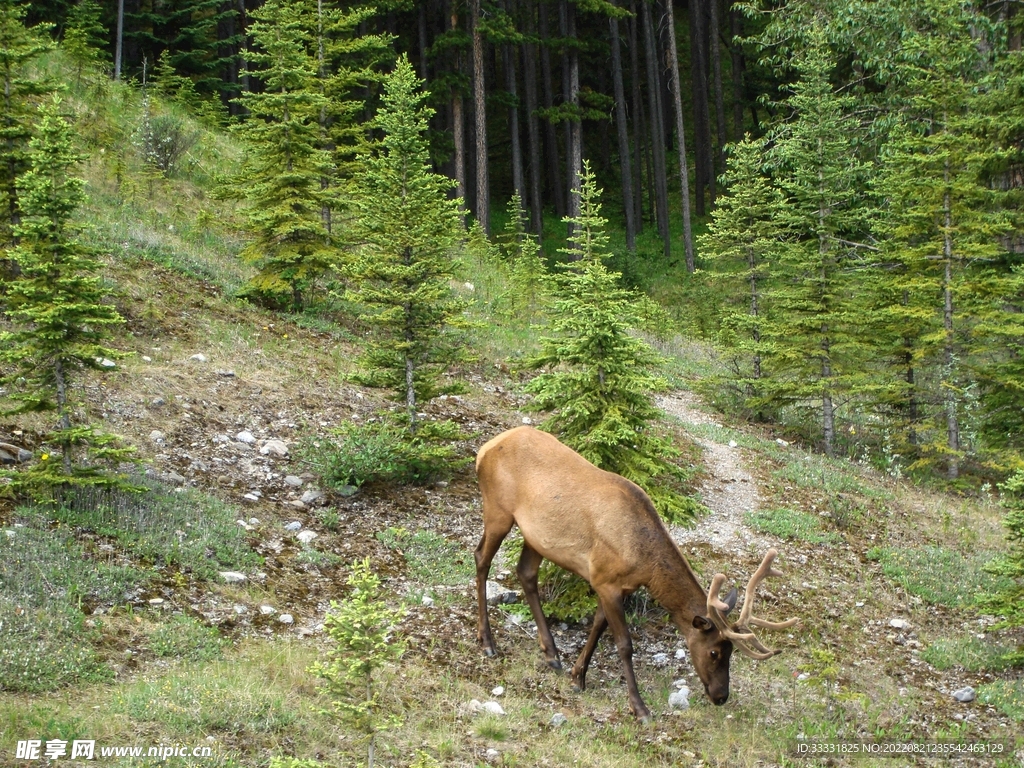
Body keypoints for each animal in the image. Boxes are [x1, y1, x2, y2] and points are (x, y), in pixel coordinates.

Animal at [474, 426, 799, 722]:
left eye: (731, 651)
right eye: (714, 652)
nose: (721, 696)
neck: (645, 565)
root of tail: (485, 449)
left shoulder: (617, 585)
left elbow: (597, 627)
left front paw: (577, 677)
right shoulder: (605, 580)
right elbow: (624, 645)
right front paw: (639, 708)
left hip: (537, 537)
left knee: (526, 573)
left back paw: (552, 654)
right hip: (497, 510)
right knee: (481, 559)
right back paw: (488, 642)